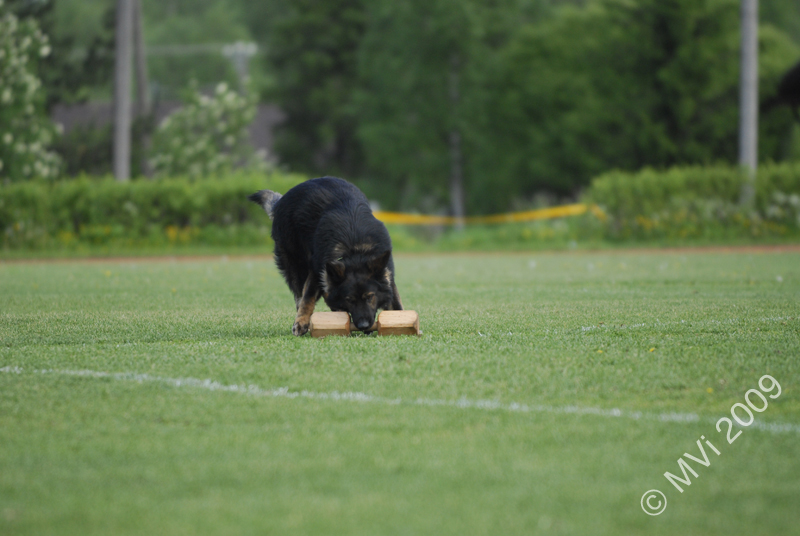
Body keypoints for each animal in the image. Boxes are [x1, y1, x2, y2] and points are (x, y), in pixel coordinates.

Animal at [248, 176, 404, 336]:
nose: (363, 326)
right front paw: (301, 322)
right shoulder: (317, 271)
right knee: (300, 295)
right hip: (296, 267)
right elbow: (308, 298)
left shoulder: (387, 275)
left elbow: (395, 302)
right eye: (350, 299)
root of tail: (280, 201)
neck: (355, 251)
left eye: (370, 297)